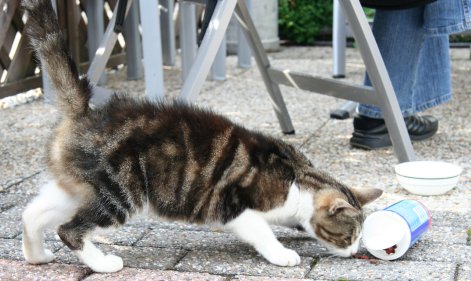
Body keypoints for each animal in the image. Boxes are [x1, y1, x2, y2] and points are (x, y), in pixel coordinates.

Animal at [21, 0, 384, 272]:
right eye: (349, 236)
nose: (355, 252)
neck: (297, 178)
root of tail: (86, 112)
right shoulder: (230, 206)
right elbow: (262, 230)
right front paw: (282, 254)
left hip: (79, 187)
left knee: (32, 213)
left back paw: (36, 255)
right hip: (121, 194)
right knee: (69, 229)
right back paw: (103, 264)